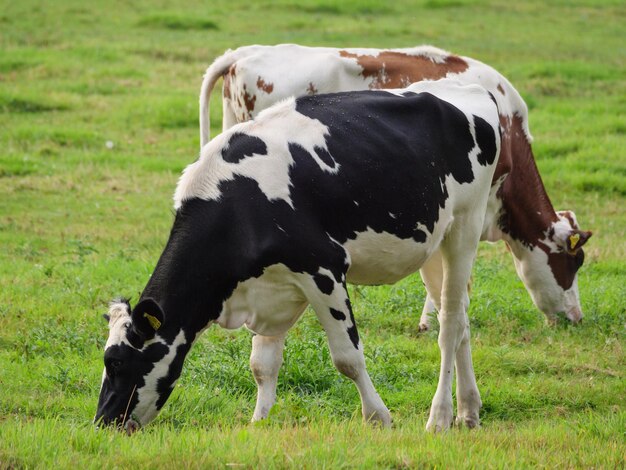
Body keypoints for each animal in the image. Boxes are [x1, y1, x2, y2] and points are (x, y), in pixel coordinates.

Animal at [95, 80, 500, 434]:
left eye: (115, 362)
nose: (102, 423)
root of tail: (467, 89)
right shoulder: (271, 282)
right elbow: (262, 365)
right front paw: (258, 423)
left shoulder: (323, 268)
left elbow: (348, 358)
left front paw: (378, 417)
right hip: (434, 243)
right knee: (459, 317)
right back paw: (468, 411)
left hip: (465, 227)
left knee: (450, 325)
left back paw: (439, 418)